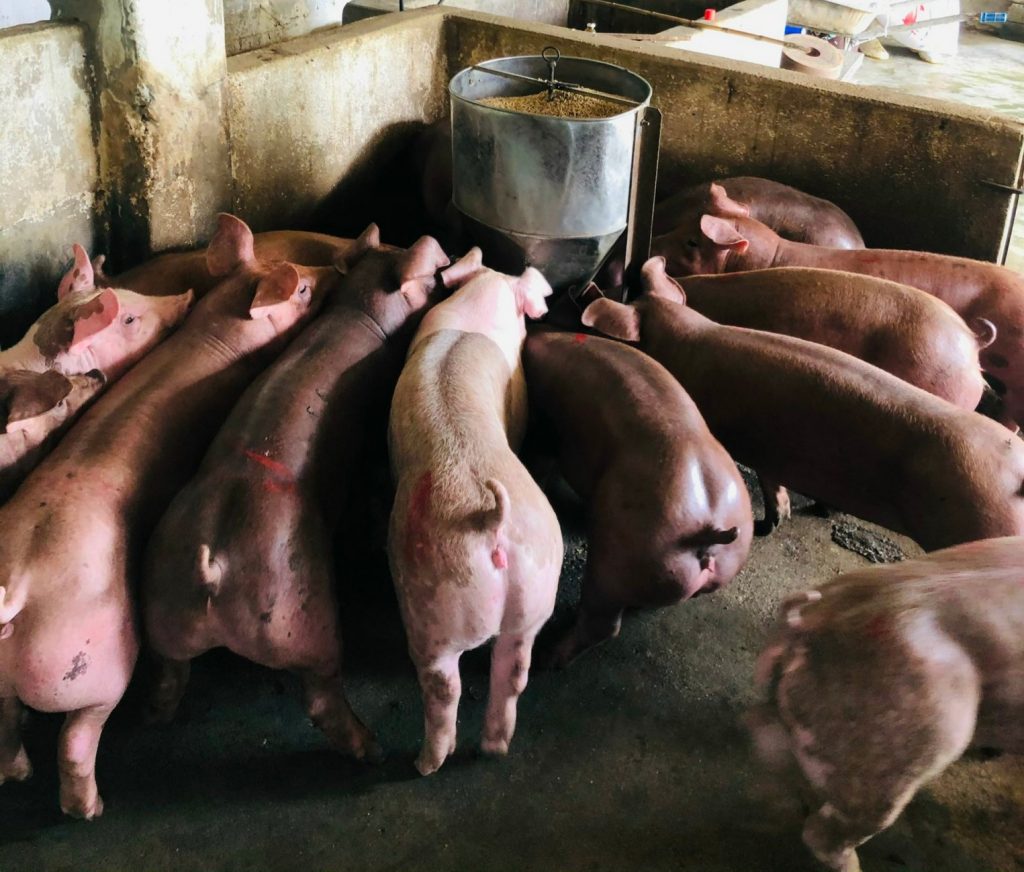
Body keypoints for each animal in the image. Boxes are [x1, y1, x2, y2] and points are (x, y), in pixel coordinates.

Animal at [141, 227, 451, 761]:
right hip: (303, 615)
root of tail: (213, 566)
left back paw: (155, 718)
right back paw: (371, 748)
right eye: (429, 277)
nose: (442, 278)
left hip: (163, 611)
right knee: (322, 694)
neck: (358, 311)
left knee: (167, 677)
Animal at [387, 249, 562, 775]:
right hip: (534, 591)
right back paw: (493, 748)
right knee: (515, 669)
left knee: (444, 684)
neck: (475, 318)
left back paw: (425, 763)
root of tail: (488, 520)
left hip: (429, 604)